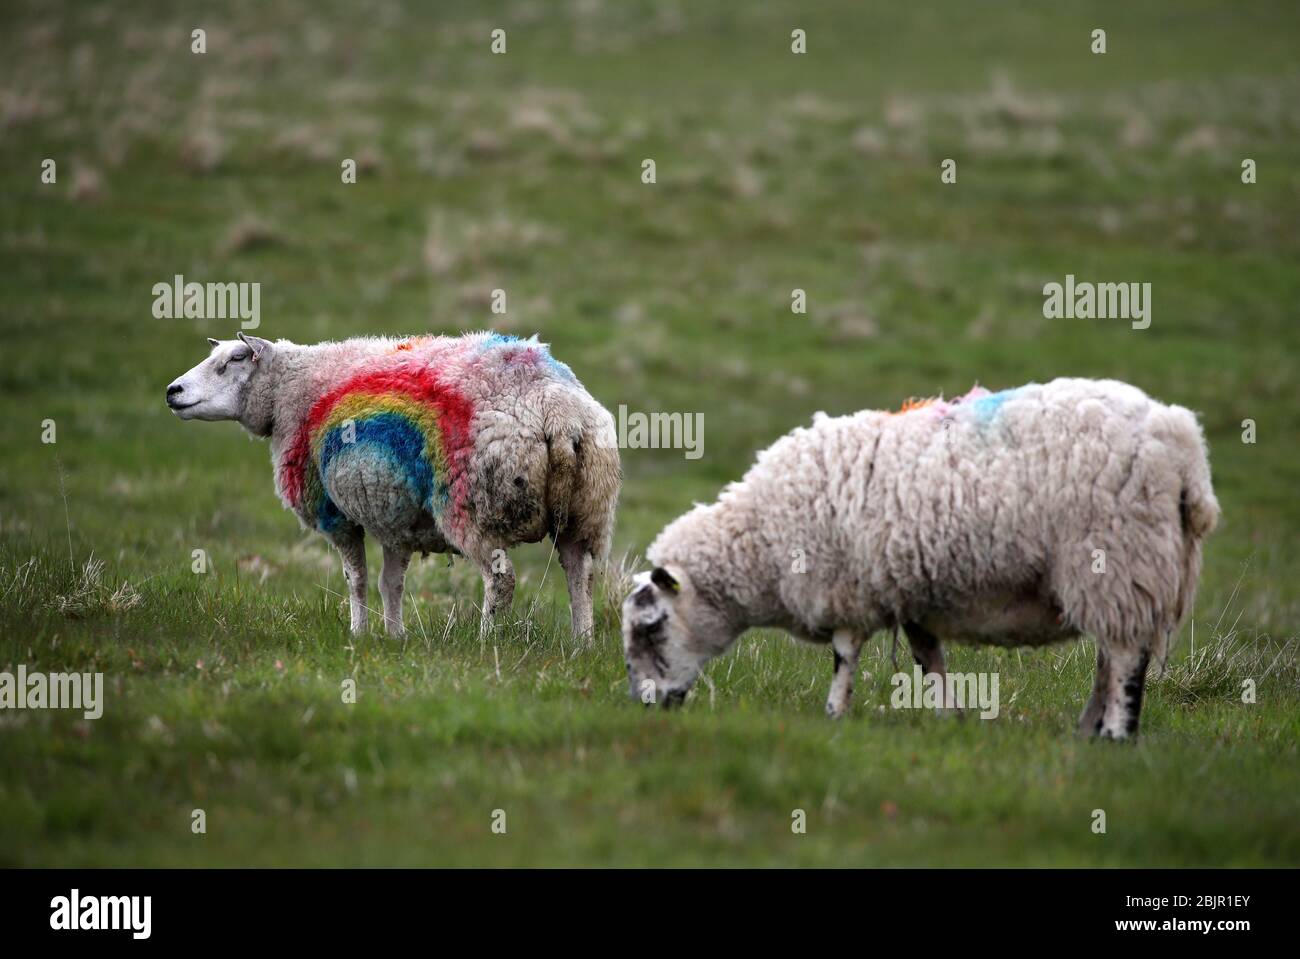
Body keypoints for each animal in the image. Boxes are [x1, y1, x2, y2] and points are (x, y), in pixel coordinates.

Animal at [165, 332, 621, 639]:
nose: (173, 390)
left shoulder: (336, 514)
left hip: (470, 507)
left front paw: (358, 633)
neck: (291, 390)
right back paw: (582, 641)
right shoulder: (394, 514)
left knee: (502, 579)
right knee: (580, 573)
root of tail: (557, 411)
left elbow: (356, 578)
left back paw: (486, 639)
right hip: (587, 509)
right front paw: (395, 635)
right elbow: (391, 581)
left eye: (236, 358)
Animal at [624, 376, 1222, 738]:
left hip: (1118, 559)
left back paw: (1117, 734)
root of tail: (1182, 443)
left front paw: (834, 714)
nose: (645, 707)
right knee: (1108, 657)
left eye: (651, 628)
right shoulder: (911, 593)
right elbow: (928, 659)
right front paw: (948, 717)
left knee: (1124, 658)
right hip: (1114, 575)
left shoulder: (850, 588)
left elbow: (845, 655)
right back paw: (1087, 732)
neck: (760, 545)